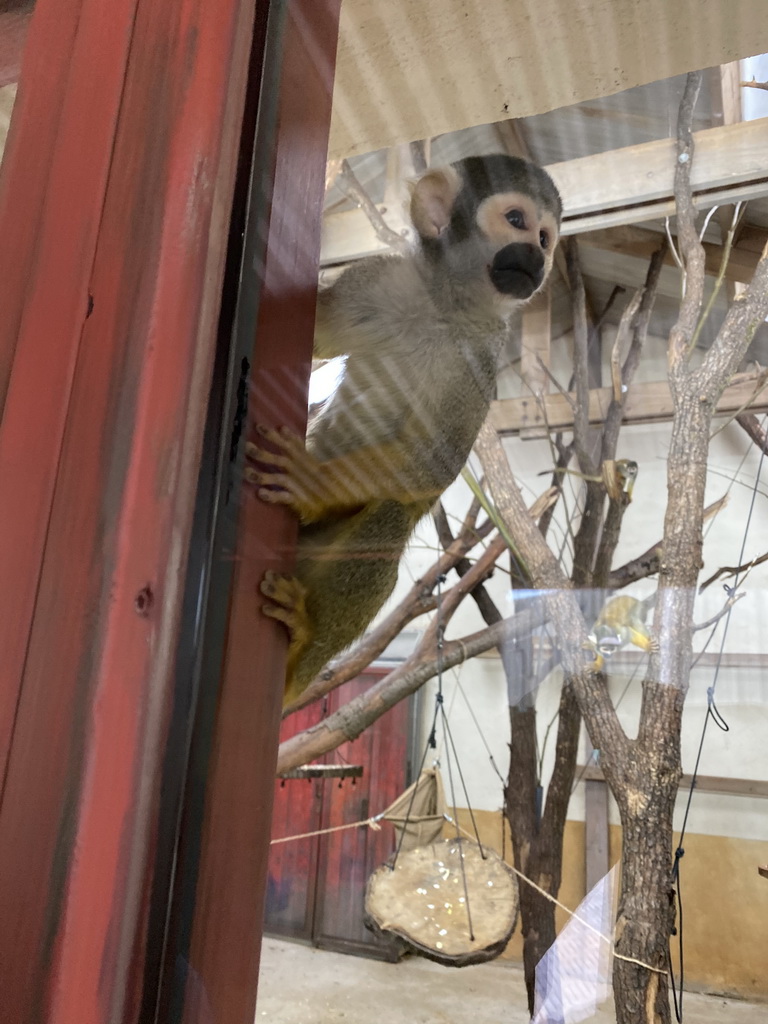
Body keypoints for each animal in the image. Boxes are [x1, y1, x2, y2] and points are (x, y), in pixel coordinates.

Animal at [249, 155, 561, 708]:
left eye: (546, 238)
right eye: (518, 222)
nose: (537, 259)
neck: (444, 305)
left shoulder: (482, 359)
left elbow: (433, 461)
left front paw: (311, 481)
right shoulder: (376, 279)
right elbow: (319, 334)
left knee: (390, 517)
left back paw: (302, 644)